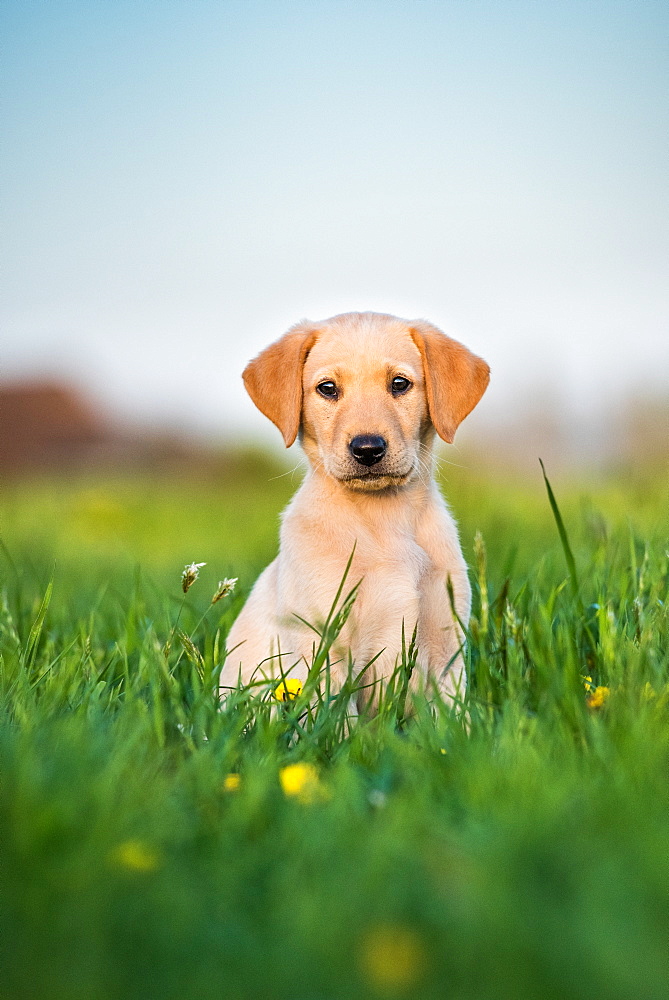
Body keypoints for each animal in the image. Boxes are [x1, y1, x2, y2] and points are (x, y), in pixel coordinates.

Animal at [219, 308, 486, 708]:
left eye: (400, 384)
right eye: (328, 389)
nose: (367, 449)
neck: (383, 519)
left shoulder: (446, 657)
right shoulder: (323, 654)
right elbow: (336, 719)